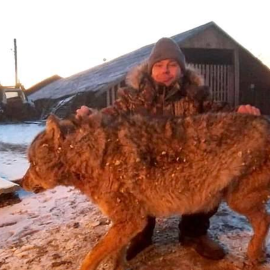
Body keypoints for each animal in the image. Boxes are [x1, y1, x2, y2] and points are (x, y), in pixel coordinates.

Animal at [21, 112, 270, 270]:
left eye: (32, 164)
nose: (20, 183)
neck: (92, 156)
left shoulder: (130, 220)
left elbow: (92, 255)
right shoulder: (125, 224)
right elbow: (115, 253)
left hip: (237, 200)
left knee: (264, 220)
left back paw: (252, 255)